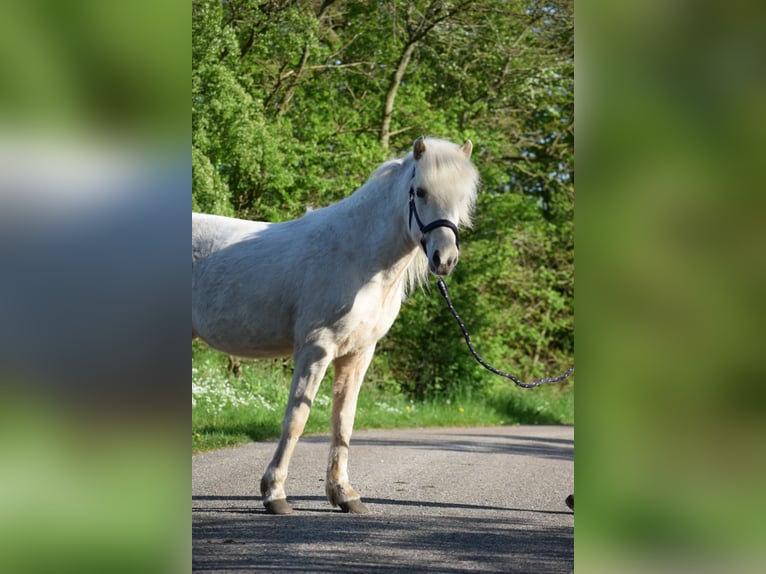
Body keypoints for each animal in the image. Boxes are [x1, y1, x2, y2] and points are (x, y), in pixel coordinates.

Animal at [192, 137, 480, 516]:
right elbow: (296, 419)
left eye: (462, 198)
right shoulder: (316, 349)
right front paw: (275, 494)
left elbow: (344, 420)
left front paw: (344, 494)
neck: (358, 258)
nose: (444, 260)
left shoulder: (357, 354)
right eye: (419, 191)